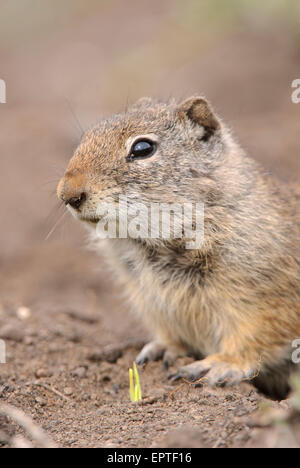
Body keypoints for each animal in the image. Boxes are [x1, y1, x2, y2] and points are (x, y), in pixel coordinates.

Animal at [57, 95, 298, 398]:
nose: (67, 194)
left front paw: (218, 365)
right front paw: (162, 350)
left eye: (143, 148)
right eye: (85, 137)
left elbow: (254, 339)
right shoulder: (149, 299)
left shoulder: (265, 300)